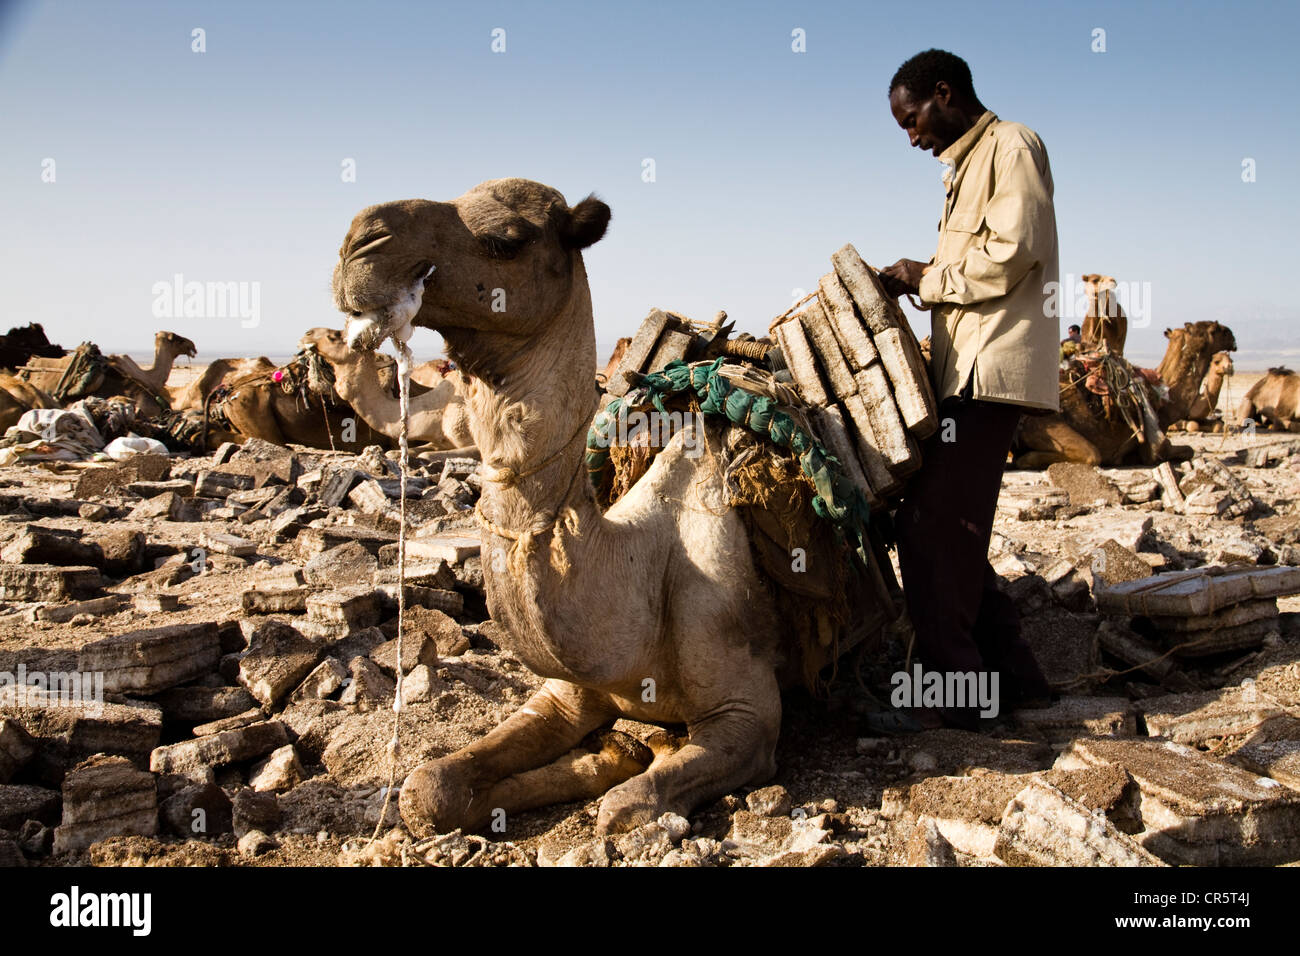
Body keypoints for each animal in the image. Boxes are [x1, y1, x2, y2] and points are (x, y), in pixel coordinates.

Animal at [330, 179, 889, 837]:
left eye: (506, 239)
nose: (359, 242)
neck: (636, 568)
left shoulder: (747, 715)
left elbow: (624, 808)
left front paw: (631, 761)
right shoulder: (563, 693)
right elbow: (428, 788)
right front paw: (610, 754)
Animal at [1008, 321, 1232, 470]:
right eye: (1217, 330)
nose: (1232, 337)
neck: (1165, 398)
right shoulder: (1154, 447)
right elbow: (1186, 450)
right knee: (1091, 455)